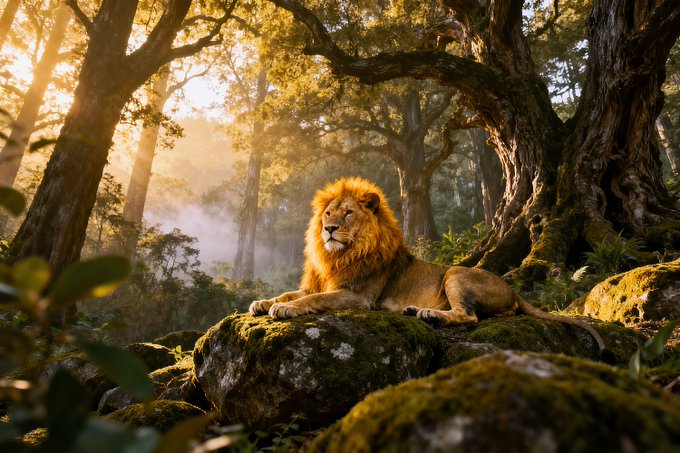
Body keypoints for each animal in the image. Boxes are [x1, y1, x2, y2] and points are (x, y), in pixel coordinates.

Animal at [249, 177, 609, 358]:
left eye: (348, 213)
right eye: (327, 213)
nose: (329, 230)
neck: (339, 255)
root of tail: (513, 290)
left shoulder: (358, 296)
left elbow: (312, 300)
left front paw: (285, 310)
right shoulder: (318, 283)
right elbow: (291, 293)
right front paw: (264, 302)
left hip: (454, 273)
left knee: (469, 316)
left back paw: (428, 314)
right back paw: (414, 311)